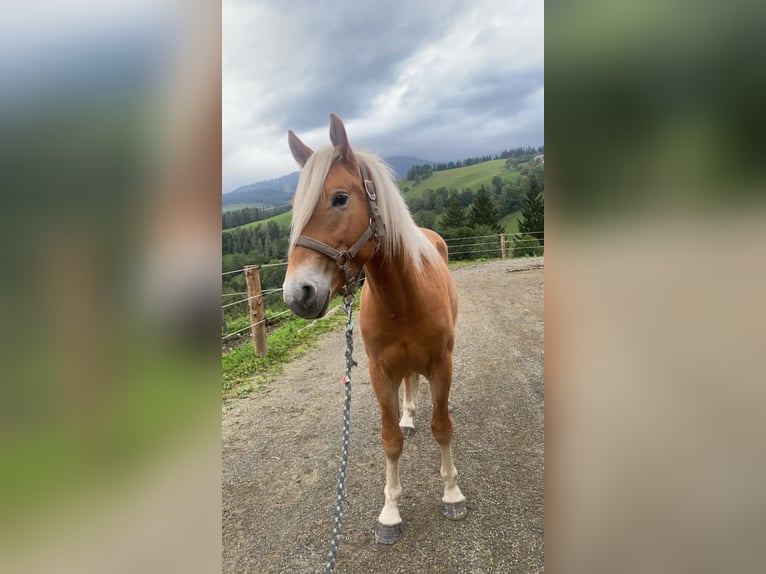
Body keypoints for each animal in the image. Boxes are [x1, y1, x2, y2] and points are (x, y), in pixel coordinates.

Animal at [280, 115, 464, 548]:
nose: (298, 294)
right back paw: (408, 417)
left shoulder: (442, 366)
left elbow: (443, 428)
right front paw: (390, 512)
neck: (404, 296)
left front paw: (451, 493)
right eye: (295, 207)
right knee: (409, 388)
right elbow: (390, 441)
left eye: (340, 198)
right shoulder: (380, 373)